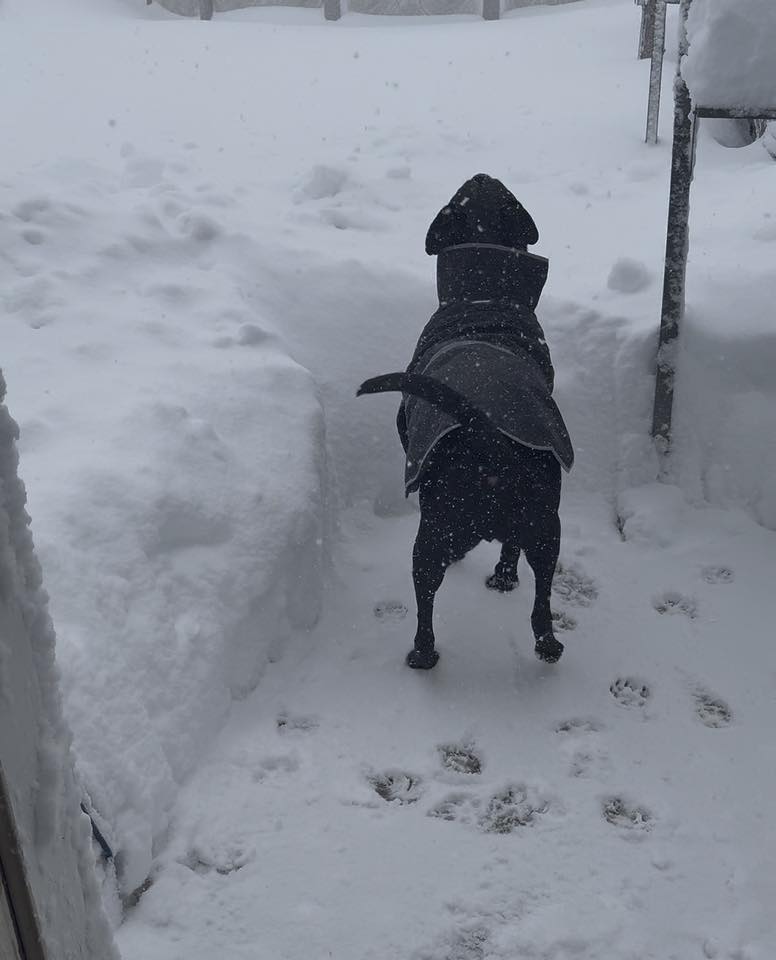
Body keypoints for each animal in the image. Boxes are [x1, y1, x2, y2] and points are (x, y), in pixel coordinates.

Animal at [358, 175, 573, 670]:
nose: (483, 175)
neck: (484, 298)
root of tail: (487, 434)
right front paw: (505, 576)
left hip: (433, 535)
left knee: (426, 596)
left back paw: (421, 655)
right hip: (546, 526)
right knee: (541, 602)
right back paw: (546, 643)